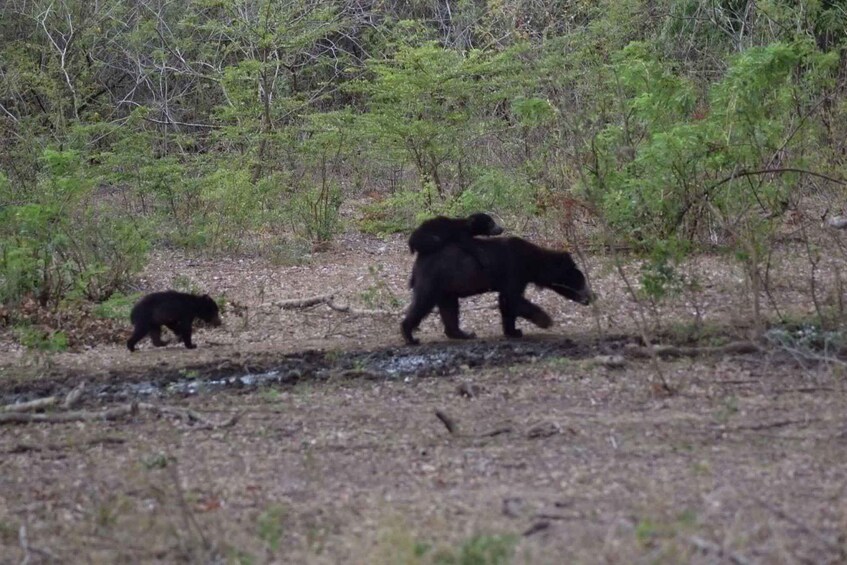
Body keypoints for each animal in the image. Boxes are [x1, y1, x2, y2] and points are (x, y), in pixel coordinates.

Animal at [401, 236, 593, 345]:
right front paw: (545, 320)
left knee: (449, 307)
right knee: (423, 302)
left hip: (446, 286)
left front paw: (514, 331)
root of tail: (419, 259)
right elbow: (512, 298)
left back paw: (463, 333)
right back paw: (410, 336)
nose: (591, 297)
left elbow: (506, 302)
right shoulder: (514, 269)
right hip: (434, 278)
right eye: (581, 281)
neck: (532, 263)